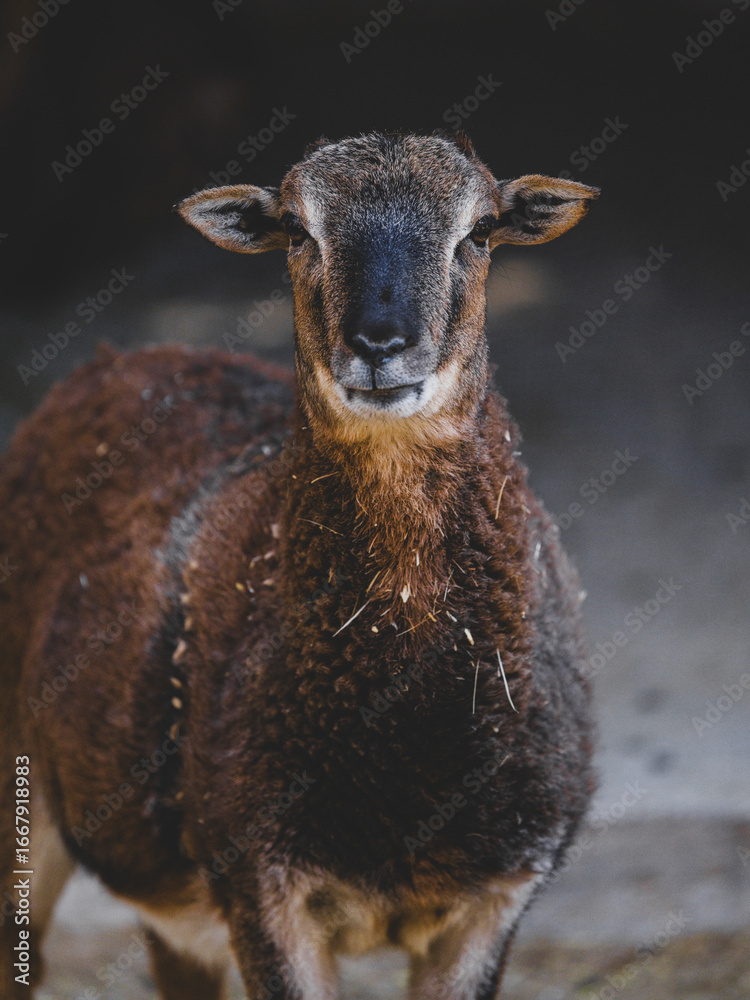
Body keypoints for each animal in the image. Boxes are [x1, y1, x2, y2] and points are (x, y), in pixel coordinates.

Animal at [0, 131, 598, 1000]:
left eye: (481, 230)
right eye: (296, 231)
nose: (379, 344)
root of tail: (114, 360)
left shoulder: (496, 897)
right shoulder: (259, 884)